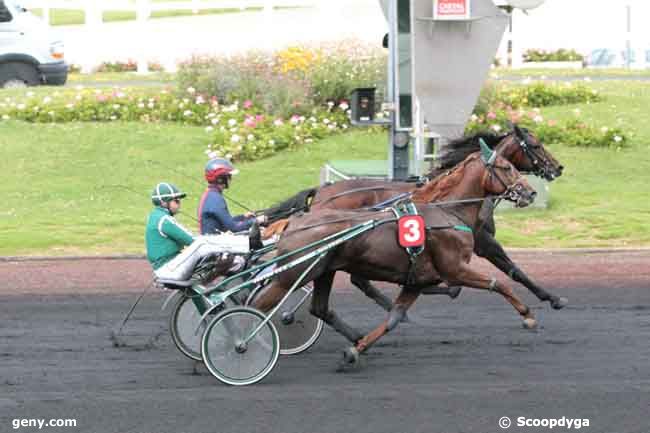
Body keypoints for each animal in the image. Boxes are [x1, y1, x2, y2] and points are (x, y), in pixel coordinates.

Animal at [253, 142, 536, 368]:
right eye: (506, 167)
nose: (531, 192)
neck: (447, 212)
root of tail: (295, 221)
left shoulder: (417, 280)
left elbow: (394, 319)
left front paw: (356, 350)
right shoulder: (455, 269)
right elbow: (499, 283)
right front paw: (528, 315)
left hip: (324, 271)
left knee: (320, 307)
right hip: (292, 275)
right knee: (258, 306)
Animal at [260, 125, 564, 310]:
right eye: (536, 145)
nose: (558, 167)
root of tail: (322, 190)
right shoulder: (484, 242)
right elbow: (514, 269)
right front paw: (551, 297)